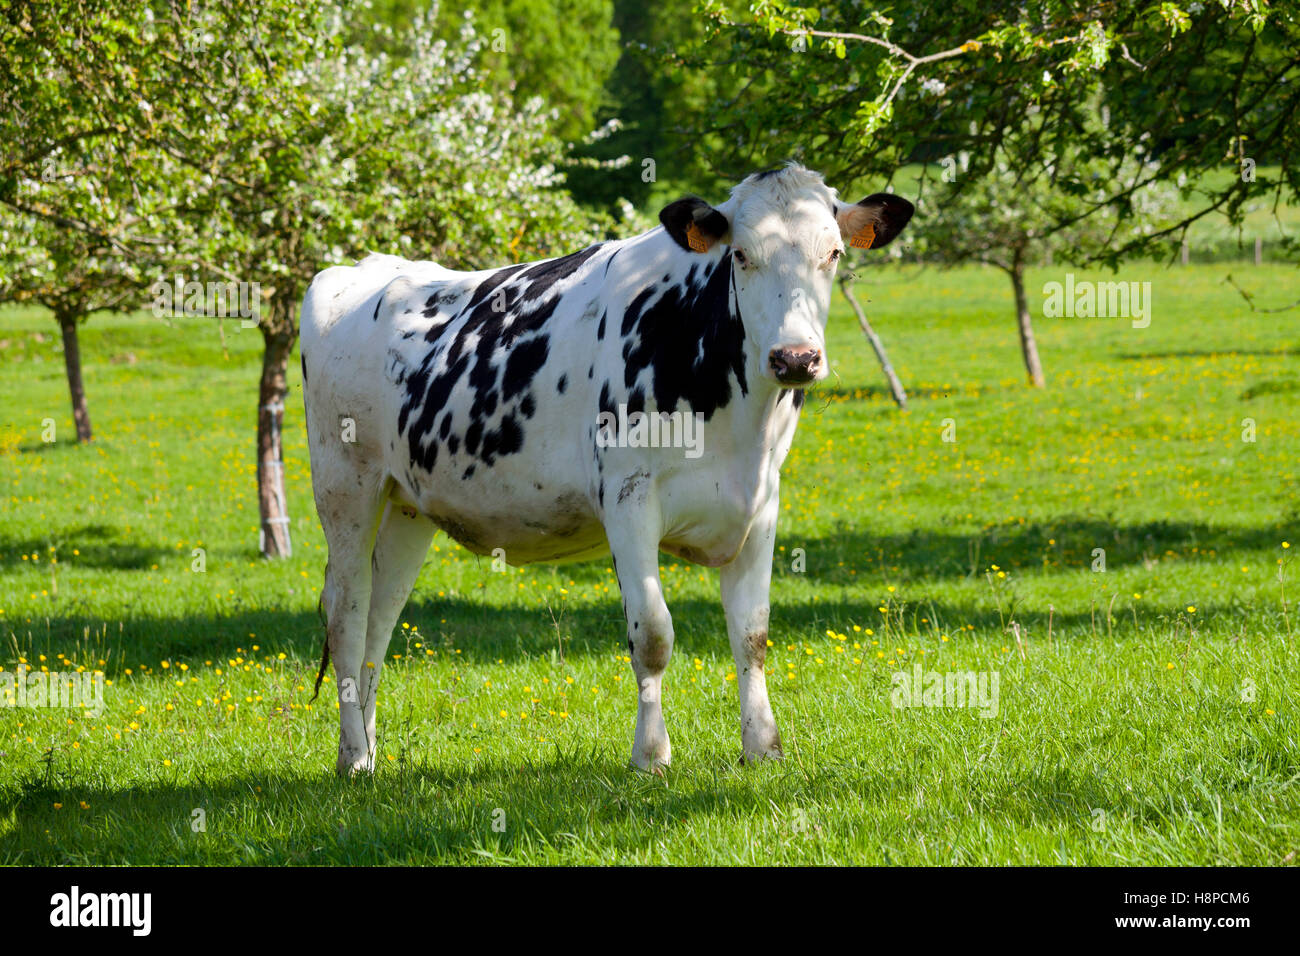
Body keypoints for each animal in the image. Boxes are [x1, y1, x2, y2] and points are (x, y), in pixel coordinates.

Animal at [300, 163, 913, 775]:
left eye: (833, 253)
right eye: (740, 255)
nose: (795, 358)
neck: (738, 426)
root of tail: (362, 267)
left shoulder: (760, 501)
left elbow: (752, 633)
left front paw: (762, 747)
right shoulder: (628, 498)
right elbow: (653, 635)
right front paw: (651, 754)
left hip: (407, 505)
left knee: (380, 621)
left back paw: (366, 753)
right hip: (346, 487)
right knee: (348, 616)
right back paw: (353, 758)